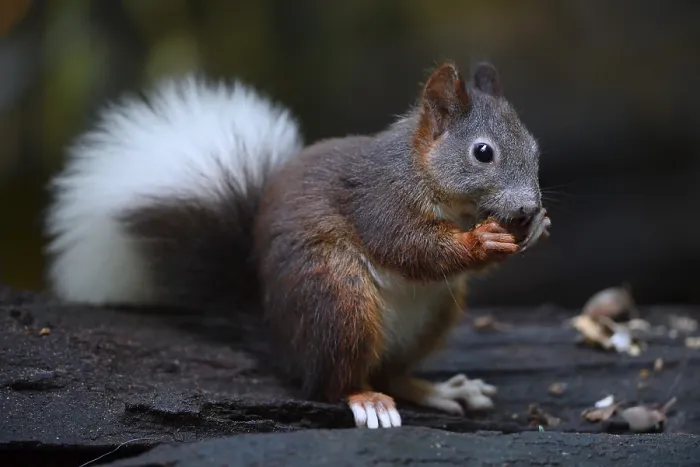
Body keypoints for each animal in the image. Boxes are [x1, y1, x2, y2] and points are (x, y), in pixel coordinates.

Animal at [44, 61, 550, 429]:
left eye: (534, 148)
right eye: (482, 152)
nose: (528, 207)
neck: (424, 172)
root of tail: (281, 337)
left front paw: (534, 229)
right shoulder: (379, 201)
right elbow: (412, 248)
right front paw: (484, 239)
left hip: (433, 312)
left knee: (390, 372)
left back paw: (438, 390)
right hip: (338, 298)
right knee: (331, 382)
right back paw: (365, 398)